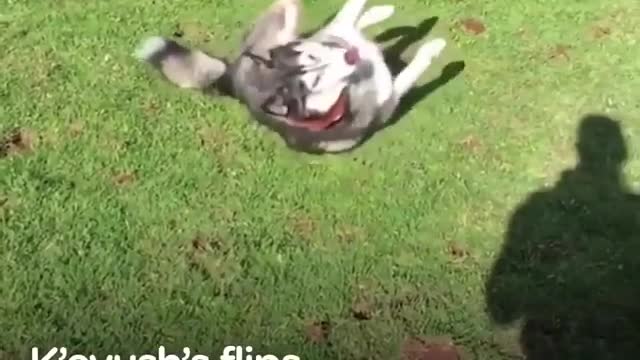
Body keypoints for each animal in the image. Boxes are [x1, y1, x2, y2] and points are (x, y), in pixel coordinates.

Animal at [134, 0, 448, 153]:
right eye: (315, 83)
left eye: (312, 58)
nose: (351, 57)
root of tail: (231, 77)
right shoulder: (391, 97)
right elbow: (416, 66)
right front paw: (434, 49)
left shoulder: (340, 37)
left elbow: (351, 11)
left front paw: (380, 13)